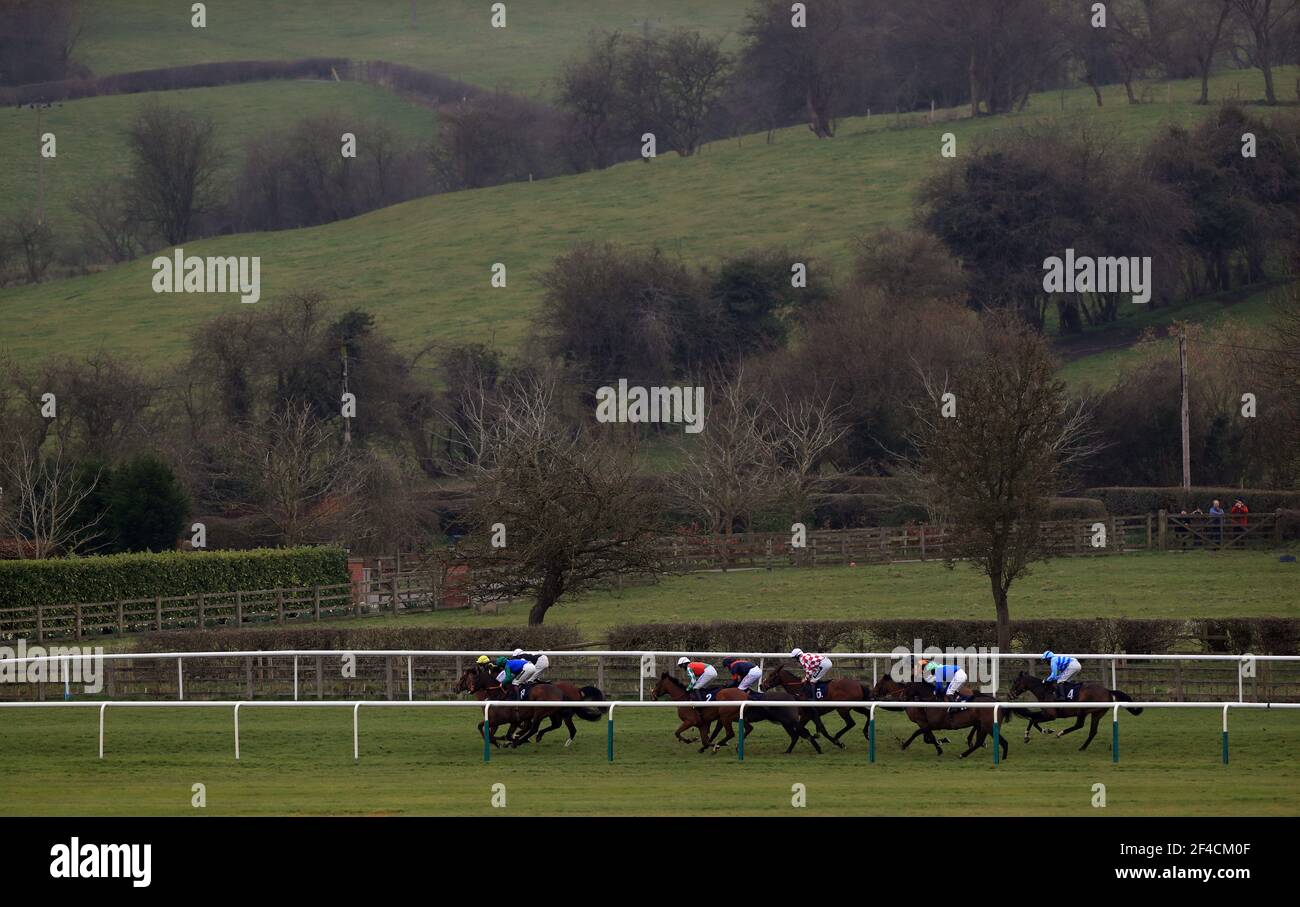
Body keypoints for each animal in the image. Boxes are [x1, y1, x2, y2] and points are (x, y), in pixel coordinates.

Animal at [873, 670, 1003, 753]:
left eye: (878, 684)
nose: (872, 694)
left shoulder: (925, 722)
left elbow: (922, 735)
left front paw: (939, 746)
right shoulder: (925, 722)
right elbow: (926, 736)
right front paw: (941, 742)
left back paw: (972, 742)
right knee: (976, 725)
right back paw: (973, 741)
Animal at [1008, 665, 1144, 743]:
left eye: (1015, 682)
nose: (1010, 695)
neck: (1045, 690)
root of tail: (1108, 690)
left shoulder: (1051, 715)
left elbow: (1033, 719)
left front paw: (1029, 736)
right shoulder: (1045, 712)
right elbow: (1032, 719)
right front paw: (1045, 730)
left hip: (1083, 709)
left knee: (1079, 724)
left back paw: (1061, 733)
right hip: (1097, 713)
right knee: (1091, 730)